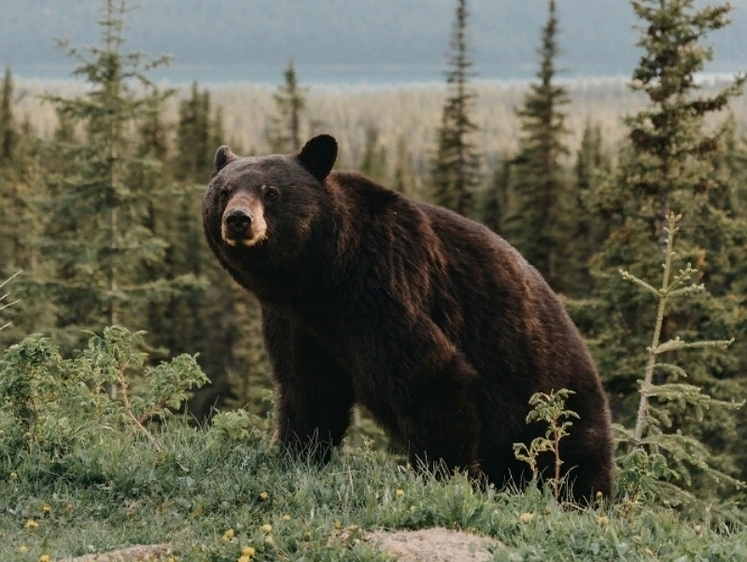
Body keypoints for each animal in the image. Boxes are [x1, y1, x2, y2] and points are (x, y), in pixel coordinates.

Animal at [203, 135, 612, 498]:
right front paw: (294, 453)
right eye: (223, 192)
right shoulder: (296, 322)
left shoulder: (385, 289)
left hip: (553, 401)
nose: (238, 220)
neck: (323, 278)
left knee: (575, 460)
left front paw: (442, 474)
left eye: (271, 192)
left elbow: (430, 377)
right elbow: (308, 388)